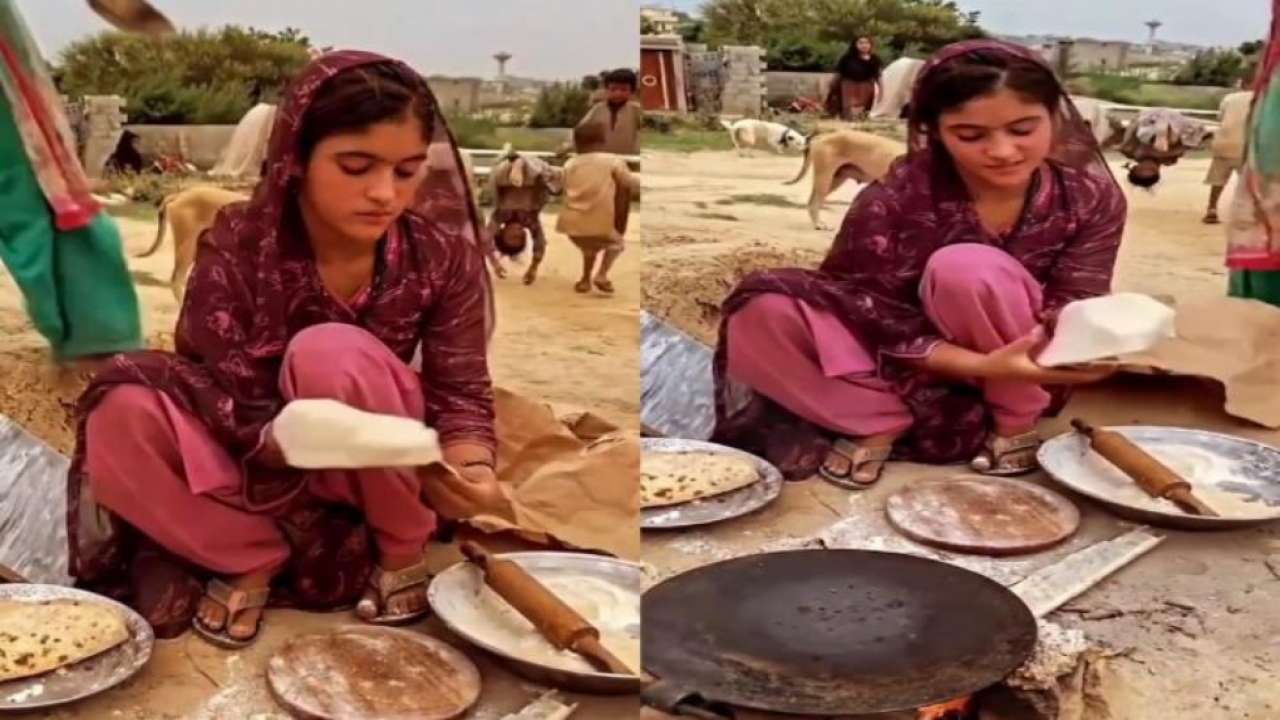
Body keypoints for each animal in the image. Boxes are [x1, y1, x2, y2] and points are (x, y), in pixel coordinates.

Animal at [778, 128, 911, 228]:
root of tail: (822, 136)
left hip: (835, 180)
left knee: (811, 202)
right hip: (825, 179)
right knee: (814, 203)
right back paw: (819, 224)